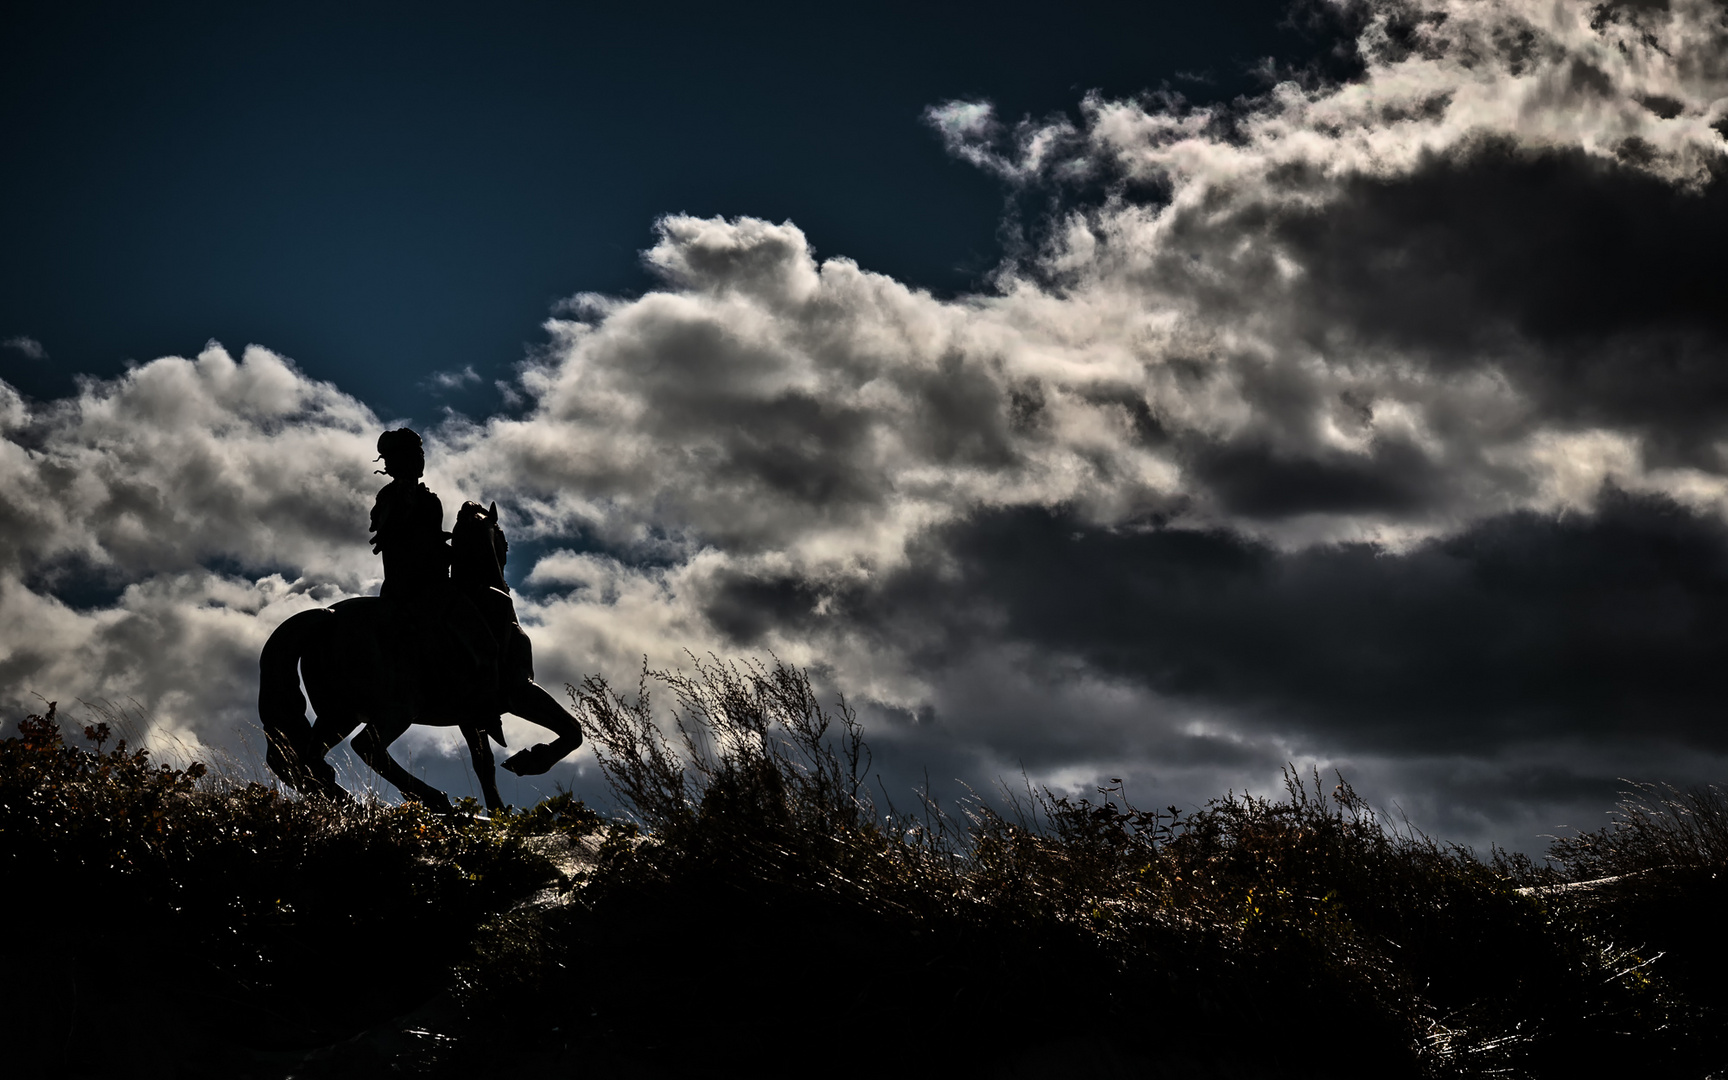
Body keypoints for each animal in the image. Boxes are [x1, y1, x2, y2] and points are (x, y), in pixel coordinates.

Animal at [255, 501, 580, 805]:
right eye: (502, 537)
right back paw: (434, 799)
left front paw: (498, 813)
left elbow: (484, 765)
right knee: (366, 748)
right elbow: (571, 730)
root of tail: (329, 616)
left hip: (339, 713)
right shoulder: (520, 691)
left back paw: (354, 803)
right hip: (395, 709)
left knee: (308, 762)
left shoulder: (471, 714)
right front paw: (531, 760)